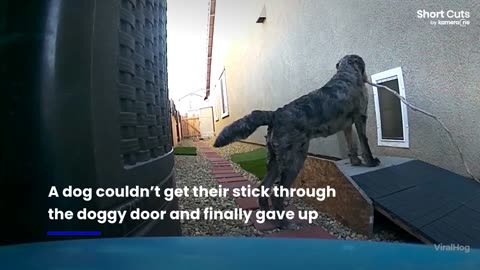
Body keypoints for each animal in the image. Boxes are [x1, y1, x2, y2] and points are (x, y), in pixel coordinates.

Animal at [212, 54, 380, 228]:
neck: (346, 74)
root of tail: (275, 114)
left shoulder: (347, 125)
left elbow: (352, 144)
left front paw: (355, 161)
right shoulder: (361, 117)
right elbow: (364, 143)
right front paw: (371, 162)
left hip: (275, 160)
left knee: (264, 187)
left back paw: (268, 216)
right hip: (294, 160)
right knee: (277, 193)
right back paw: (284, 223)